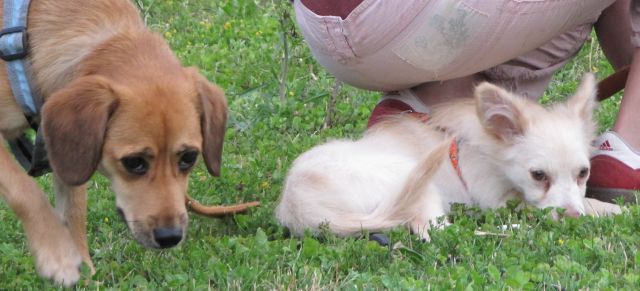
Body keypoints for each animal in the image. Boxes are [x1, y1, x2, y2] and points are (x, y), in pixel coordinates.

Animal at [0, 0, 228, 288]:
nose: (170, 237)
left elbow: (73, 212)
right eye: (134, 162)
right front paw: (57, 254)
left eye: (189, 157)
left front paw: (84, 272)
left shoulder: (63, 151)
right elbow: (26, 190)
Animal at [276, 76, 620, 242]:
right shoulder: (495, 197)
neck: (487, 146)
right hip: (412, 178)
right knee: (435, 231)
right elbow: (539, 206)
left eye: (583, 173)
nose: (572, 218)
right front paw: (602, 210)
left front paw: (608, 209)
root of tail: (299, 208)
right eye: (538, 175)